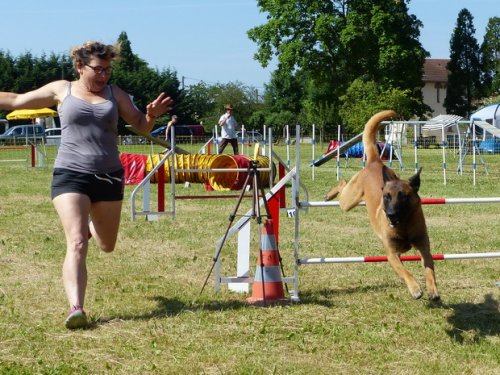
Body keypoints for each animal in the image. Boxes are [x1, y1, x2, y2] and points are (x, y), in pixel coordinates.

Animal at [324, 110, 438, 302]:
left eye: (404, 197)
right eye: (386, 197)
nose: (390, 214)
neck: (404, 226)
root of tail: (375, 162)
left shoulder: (424, 247)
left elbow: (429, 269)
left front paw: (433, 290)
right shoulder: (391, 254)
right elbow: (405, 271)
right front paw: (415, 288)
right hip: (348, 200)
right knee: (342, 183)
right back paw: (329, 194)